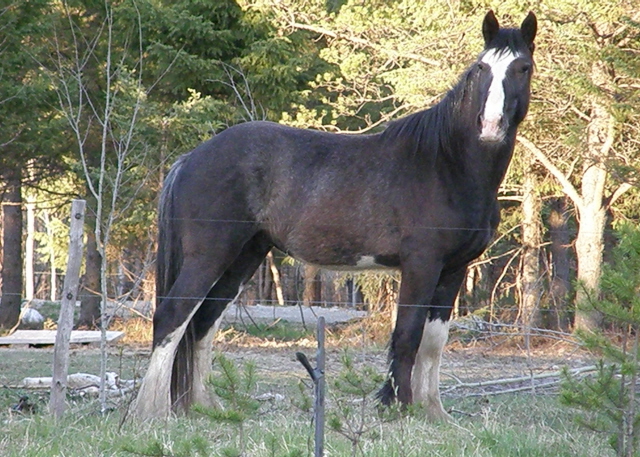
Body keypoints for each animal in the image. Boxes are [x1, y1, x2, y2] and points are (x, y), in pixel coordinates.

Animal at [134, 9, 536, 420]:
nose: (490, 127)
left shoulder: (454, 269)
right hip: (210, 254)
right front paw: (399, 407)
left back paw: (203, 406)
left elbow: (433, 341)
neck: (446, 165)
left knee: (202, 323)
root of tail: (191, 158)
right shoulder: (421, 264)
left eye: (523, 67)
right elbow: (407, 335)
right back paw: (151, 412)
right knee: (173, 316)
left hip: (245, 256)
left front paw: (433, 413)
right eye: (482, 68)